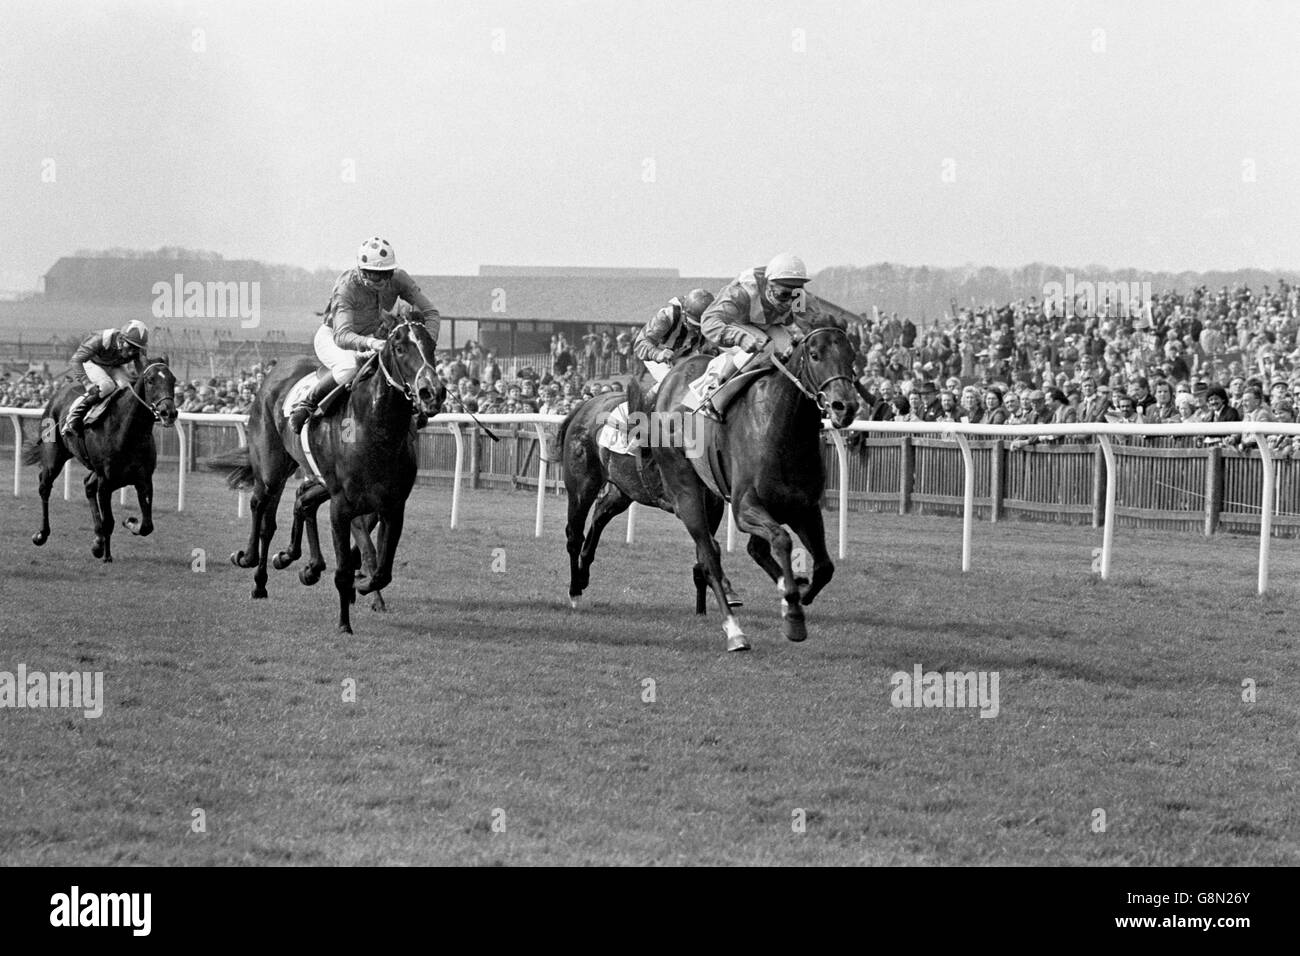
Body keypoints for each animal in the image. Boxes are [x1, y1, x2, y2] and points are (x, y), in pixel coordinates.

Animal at [25, 361, 178, 561]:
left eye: (173, 380)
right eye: (150, 380)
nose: (169, 412)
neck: (128, 432)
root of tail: (58, 392)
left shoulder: (144, 480)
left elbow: (147, 525)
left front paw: (128, 523)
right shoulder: (105, 482)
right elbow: (109, 522)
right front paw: (105, 554)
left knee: (88, 485)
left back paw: (98, 540)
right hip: (54, 456)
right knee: (45, 486)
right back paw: (41, 534)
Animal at [218, 317, 441, 634]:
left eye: (431, 346)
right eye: (399, 348)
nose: (432, 392)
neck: (374, 430)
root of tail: (274, 372)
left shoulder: (392, 507)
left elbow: (382, 570)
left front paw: (362, 587)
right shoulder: (342, 507)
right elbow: (344, 569)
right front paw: (344, 623)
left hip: (315, 478)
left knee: (300, 502)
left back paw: (294, 564)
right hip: (271, 468)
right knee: (262, 511)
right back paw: (251, 564)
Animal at [559, 377, 743, 608]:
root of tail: (584, 406)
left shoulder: (714, 505)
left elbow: (705, 549)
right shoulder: (683, 501)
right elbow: (712, 546)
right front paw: (726, 590)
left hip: (623, 491)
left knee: (599, 516)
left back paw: (583, 574)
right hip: (582, 486)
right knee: (574, 535)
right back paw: (575, 591)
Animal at [655, 321, 857, 650]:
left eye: (852, 356)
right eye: (815, 355)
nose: (845, 407)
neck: (783, 429)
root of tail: (673, 376)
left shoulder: (805, 508)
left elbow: (825, 567)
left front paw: (798, 596)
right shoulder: (745, 507)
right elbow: (782, 540)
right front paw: (794, 615)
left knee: (751, 549)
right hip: (686, 492)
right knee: (709, 557)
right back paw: (735, 631)